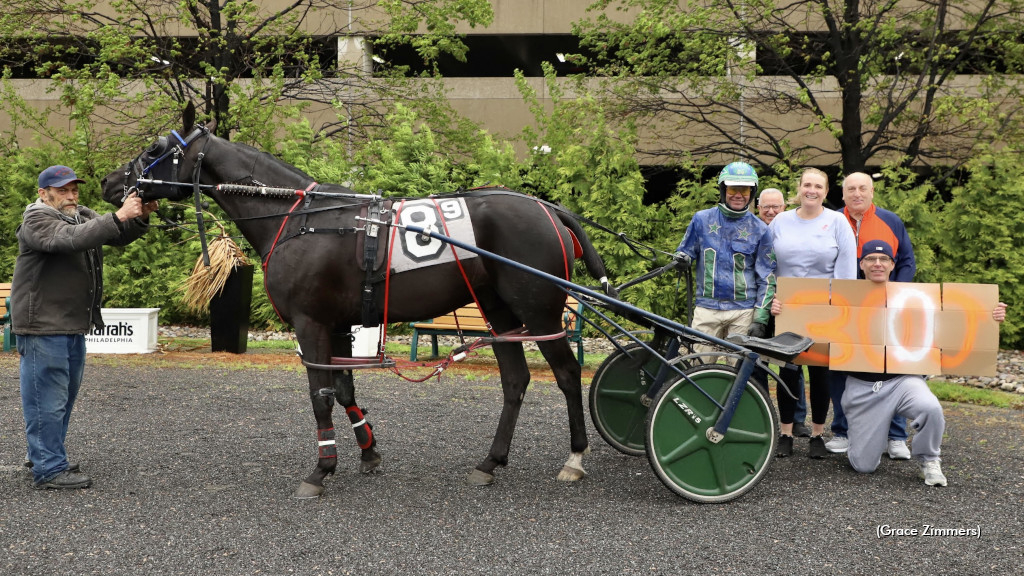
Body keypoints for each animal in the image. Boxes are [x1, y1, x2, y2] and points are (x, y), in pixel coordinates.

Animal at [101, 104, 614, 498]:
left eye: (154, 150)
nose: (109, 182)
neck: (301, 217)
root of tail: (549, 208)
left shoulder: (311, 321)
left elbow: (320, 395)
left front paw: (321, 469)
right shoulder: (340, 323)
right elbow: (345, 389)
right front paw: (367, 451)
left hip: (538, 310)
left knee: (567, 374)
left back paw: (575, 457)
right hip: (498, 310)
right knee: (515, 381)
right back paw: (490, 461)